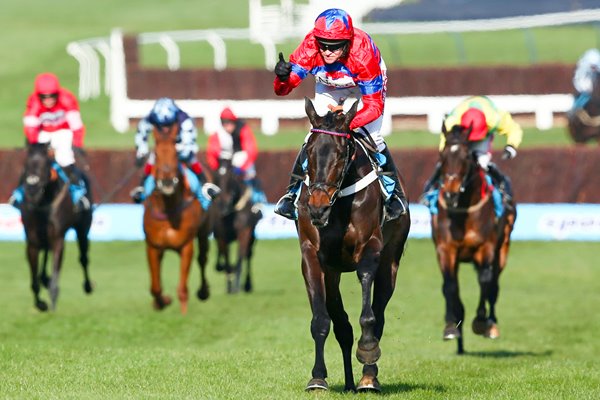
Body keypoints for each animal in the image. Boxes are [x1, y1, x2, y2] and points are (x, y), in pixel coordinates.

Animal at [19, 142, 94, 310]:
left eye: (46, 163)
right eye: (26, 164)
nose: (32, 189)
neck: (42, 204)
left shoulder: (58, 238)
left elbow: (55, 273)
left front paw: (52, 301)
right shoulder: (32, 242)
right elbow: (34, 281)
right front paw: (41, 303)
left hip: (83, 228)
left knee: (83, 258)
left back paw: (88, 285)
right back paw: (44, 279)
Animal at [143, 123, 211, 314]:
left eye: (176, 153)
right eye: (156, 153)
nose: (167, 182)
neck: (169, 210)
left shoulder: (186, 246)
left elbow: (182, 288)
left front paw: (183, 314)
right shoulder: (153, 246)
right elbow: (155, 287)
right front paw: (162, 302)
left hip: (204, 231)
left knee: (203, 259)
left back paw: (204, 291)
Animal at [209, 157, 260, 294]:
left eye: (230, 174)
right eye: (216, 175)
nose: (223, 204)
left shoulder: (245, 232)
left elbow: (240, 258)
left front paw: (237, 286)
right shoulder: (222, 236)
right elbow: (226, 259)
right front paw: (229, 287)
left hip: (252, 237)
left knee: (248, 255)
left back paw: (247, 284)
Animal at [296, 98, 412, 392]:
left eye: (340, 155)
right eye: (309, 153)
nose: (317, 208)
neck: (338, 205)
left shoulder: (370, 246)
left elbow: (369, 312)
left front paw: (368, 351)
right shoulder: (312, 255)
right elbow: (321, 320)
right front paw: (317, 377)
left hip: (391, 261)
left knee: (378, 314)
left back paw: (368, 377)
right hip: (333, 272)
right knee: (343, 327)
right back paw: (349, 381)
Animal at [432, 124, 516, 354]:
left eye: (466, 157)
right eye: (442, 156)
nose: (450, 194)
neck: (463, 212)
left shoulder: (485, 248)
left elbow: (485, 282)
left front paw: (480, 321)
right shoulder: (446, 249)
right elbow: (450, 286)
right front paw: (452, 325)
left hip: (502, 250)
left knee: (493, 286)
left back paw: (491, 324)